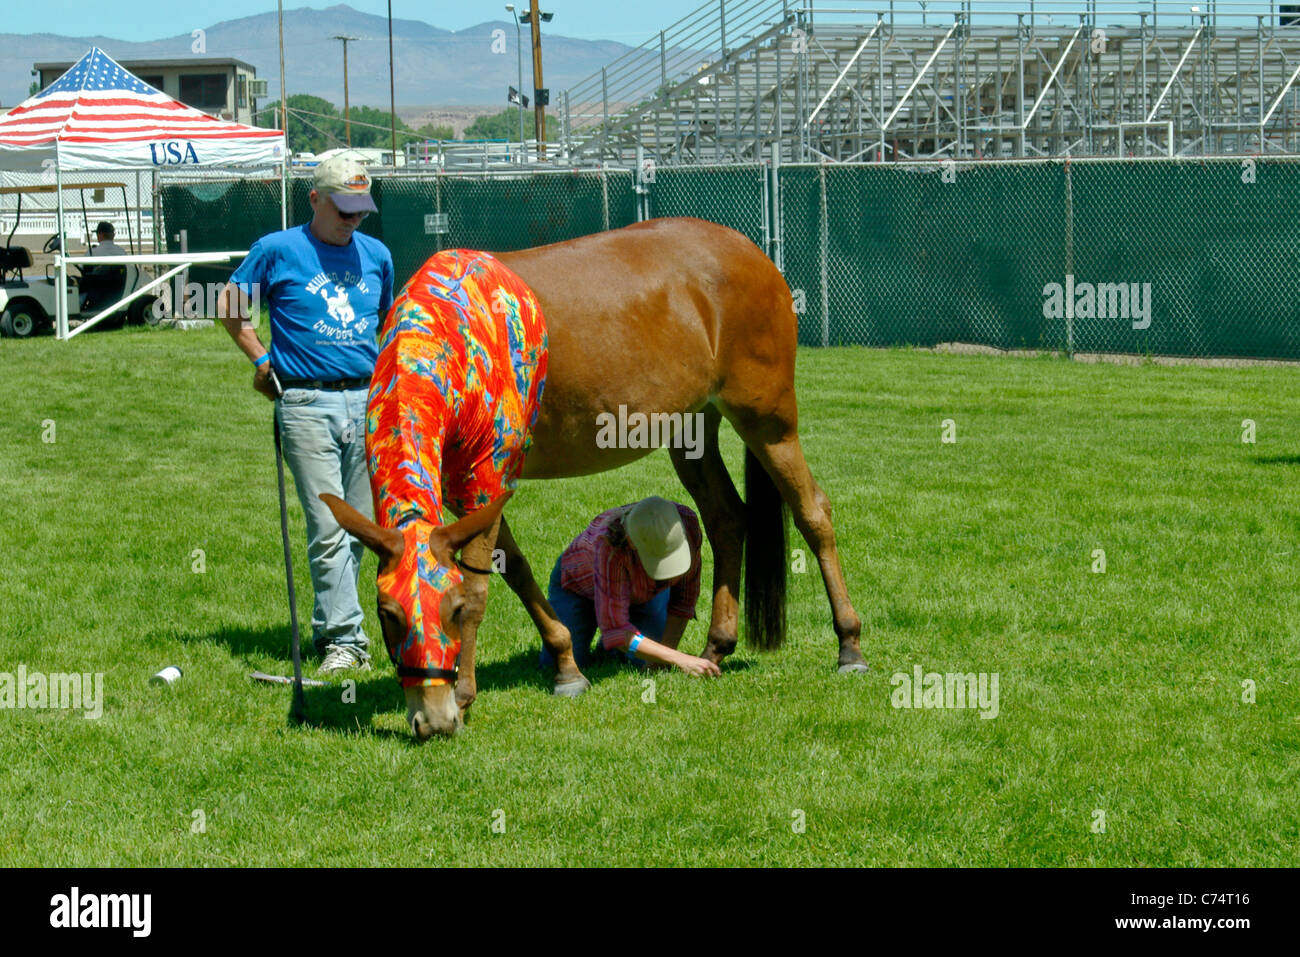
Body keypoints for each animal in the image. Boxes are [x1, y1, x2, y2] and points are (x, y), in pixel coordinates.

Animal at [325, 218, 863, 738]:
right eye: (387, 614)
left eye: (452, 610)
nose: (431, 720)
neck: (450, 329)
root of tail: (754, 254)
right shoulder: (468, 494)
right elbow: (516, 570)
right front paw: (566, 665)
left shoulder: (487, 478)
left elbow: (480, 586)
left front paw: (464, 694)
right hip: (692, 428)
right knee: (727, 519)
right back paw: (715, 647)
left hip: (769, 422)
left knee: (813, 513)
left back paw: (849, 645)